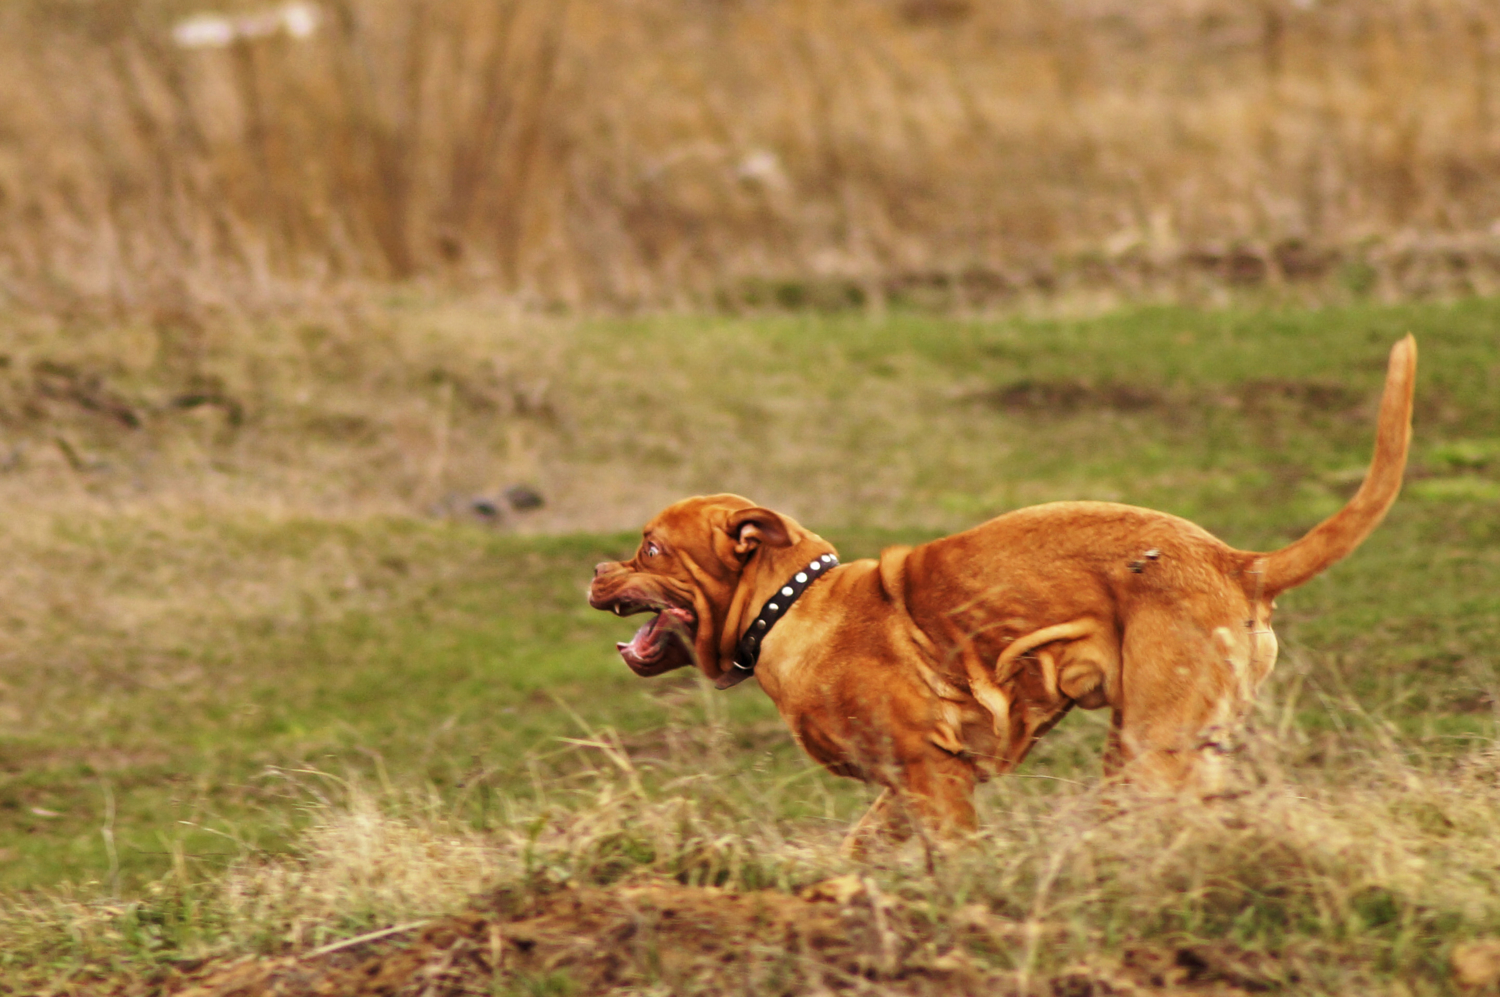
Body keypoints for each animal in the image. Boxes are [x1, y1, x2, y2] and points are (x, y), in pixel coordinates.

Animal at [588, 335, 1416, 845]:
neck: (786, 609)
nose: (594, 570)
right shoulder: (902, 790)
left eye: (650, 546)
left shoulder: (935, 777)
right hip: (1164, 746)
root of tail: (1241, 561)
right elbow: (859, 852)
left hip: (1152, 747)